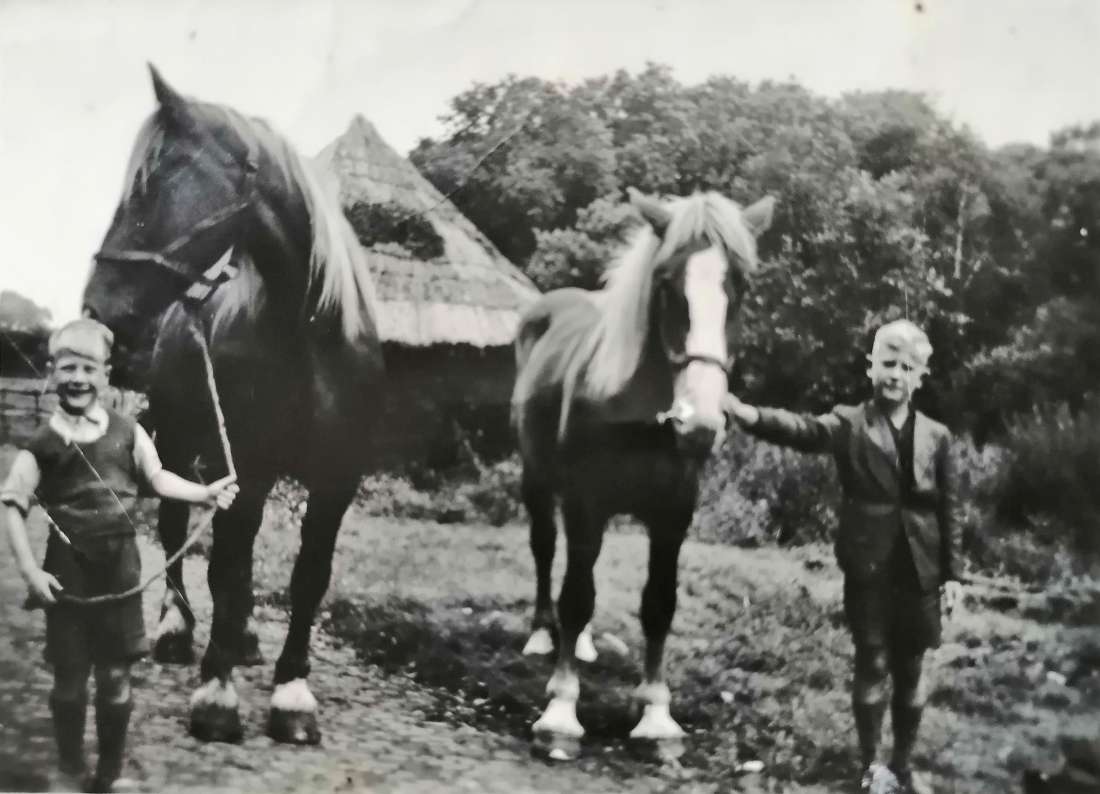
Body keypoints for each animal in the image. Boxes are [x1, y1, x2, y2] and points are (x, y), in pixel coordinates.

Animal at [81, 68, 382, 743]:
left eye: (151, 185)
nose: (96, 308)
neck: (309, 335)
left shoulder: (335, 480)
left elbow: (308, 578)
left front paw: (292, 692)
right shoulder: (243, 467)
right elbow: (226, 568)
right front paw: (216, 693)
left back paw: (241, 638)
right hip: (176, 440)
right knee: (175, 528)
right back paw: (177, 628)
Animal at [512, 186, 774, 756]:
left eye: (740, 287)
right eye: (668, 283)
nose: (700, 421)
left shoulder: (672, 515)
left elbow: (658, 604)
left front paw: (655, 714)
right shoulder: (586, 503)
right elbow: (575, 596)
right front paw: (561, 711)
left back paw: (583, 644)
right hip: (538, 480)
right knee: (545, 551)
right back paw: (543, 635)